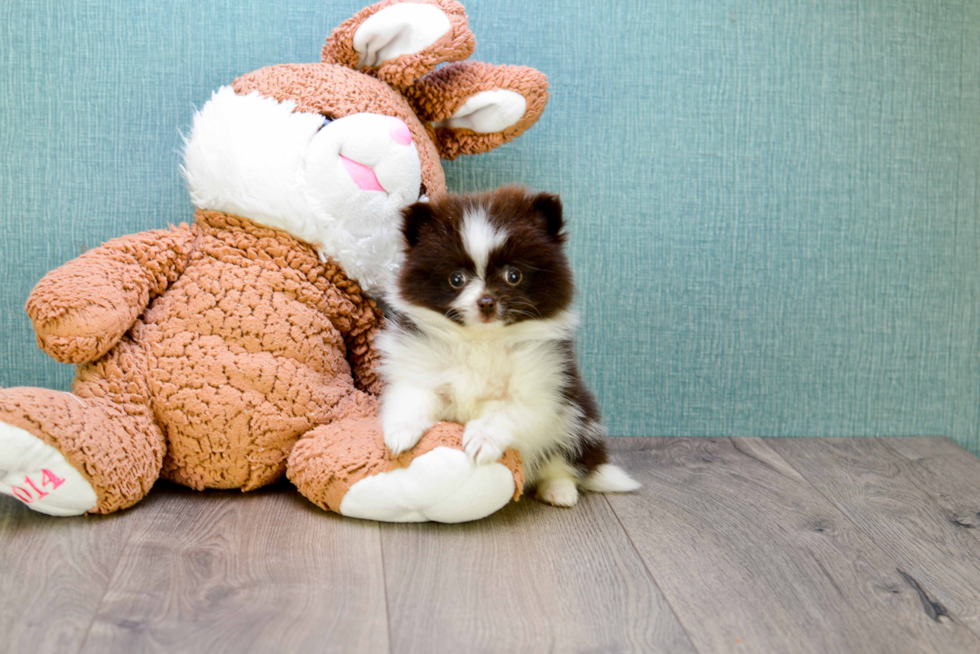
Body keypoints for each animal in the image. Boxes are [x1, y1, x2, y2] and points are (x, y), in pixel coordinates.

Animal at [378, 187, 644, 510]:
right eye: (456, 279)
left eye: (513, 275)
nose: (486, 302)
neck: (482, 340)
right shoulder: (420, 367)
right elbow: (413, 397)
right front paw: (401, 432)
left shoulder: (542, 388)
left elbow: (504, 412)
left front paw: (482, 440)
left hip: (579, 419)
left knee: (562, 461)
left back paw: (559, 491)